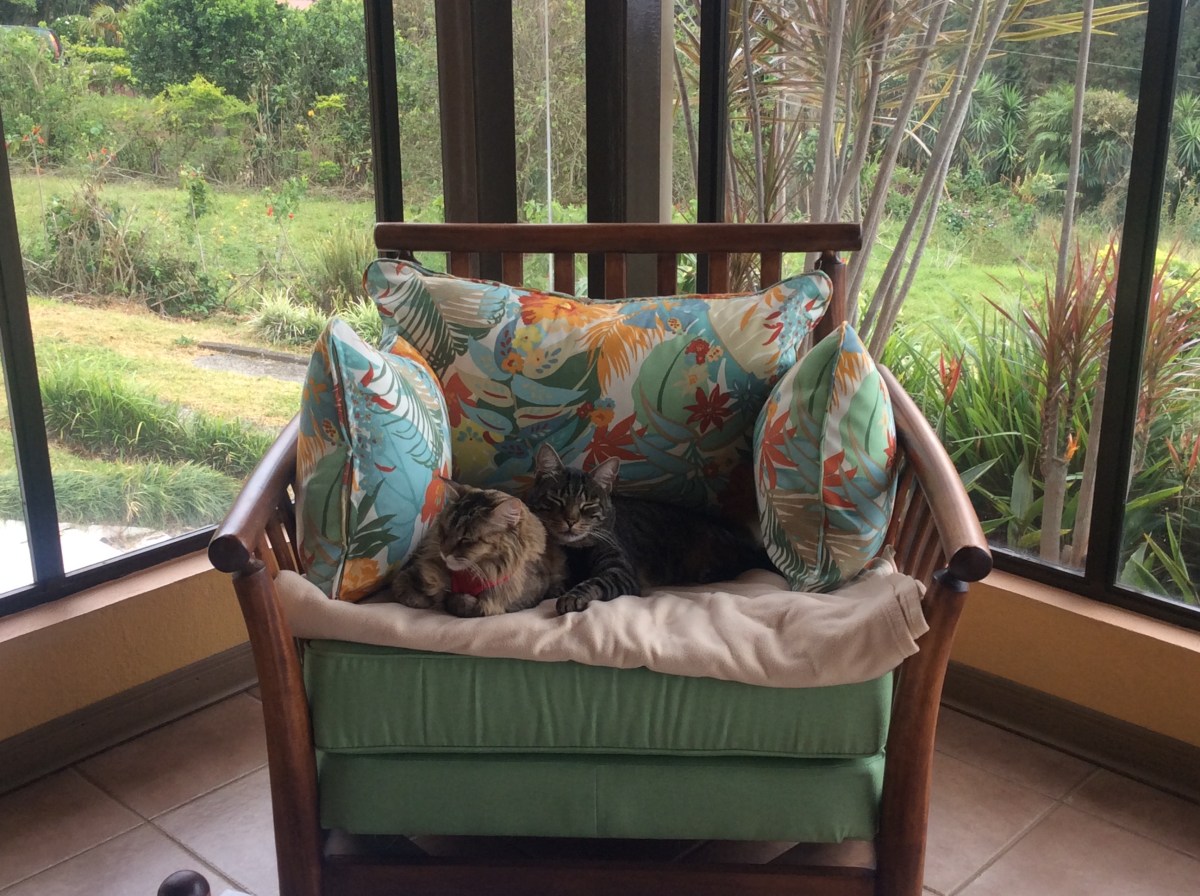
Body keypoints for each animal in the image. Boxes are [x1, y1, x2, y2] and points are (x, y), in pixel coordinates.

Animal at [387, 481, 567, 618]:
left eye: (466, 539)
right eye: (444, 531)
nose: (444, 552)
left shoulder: (518, 599)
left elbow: (465, 603)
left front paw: (448, 599)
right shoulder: (417, 569)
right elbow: (402, 585)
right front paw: (424, 598)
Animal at [526, 443, 775, 615]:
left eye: (587, 505)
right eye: (557, 500)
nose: (570, 520)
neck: (575, 551)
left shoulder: (620, 572)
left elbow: (595, 581)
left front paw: (572, 596)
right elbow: (559, 583)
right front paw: (554, 591)